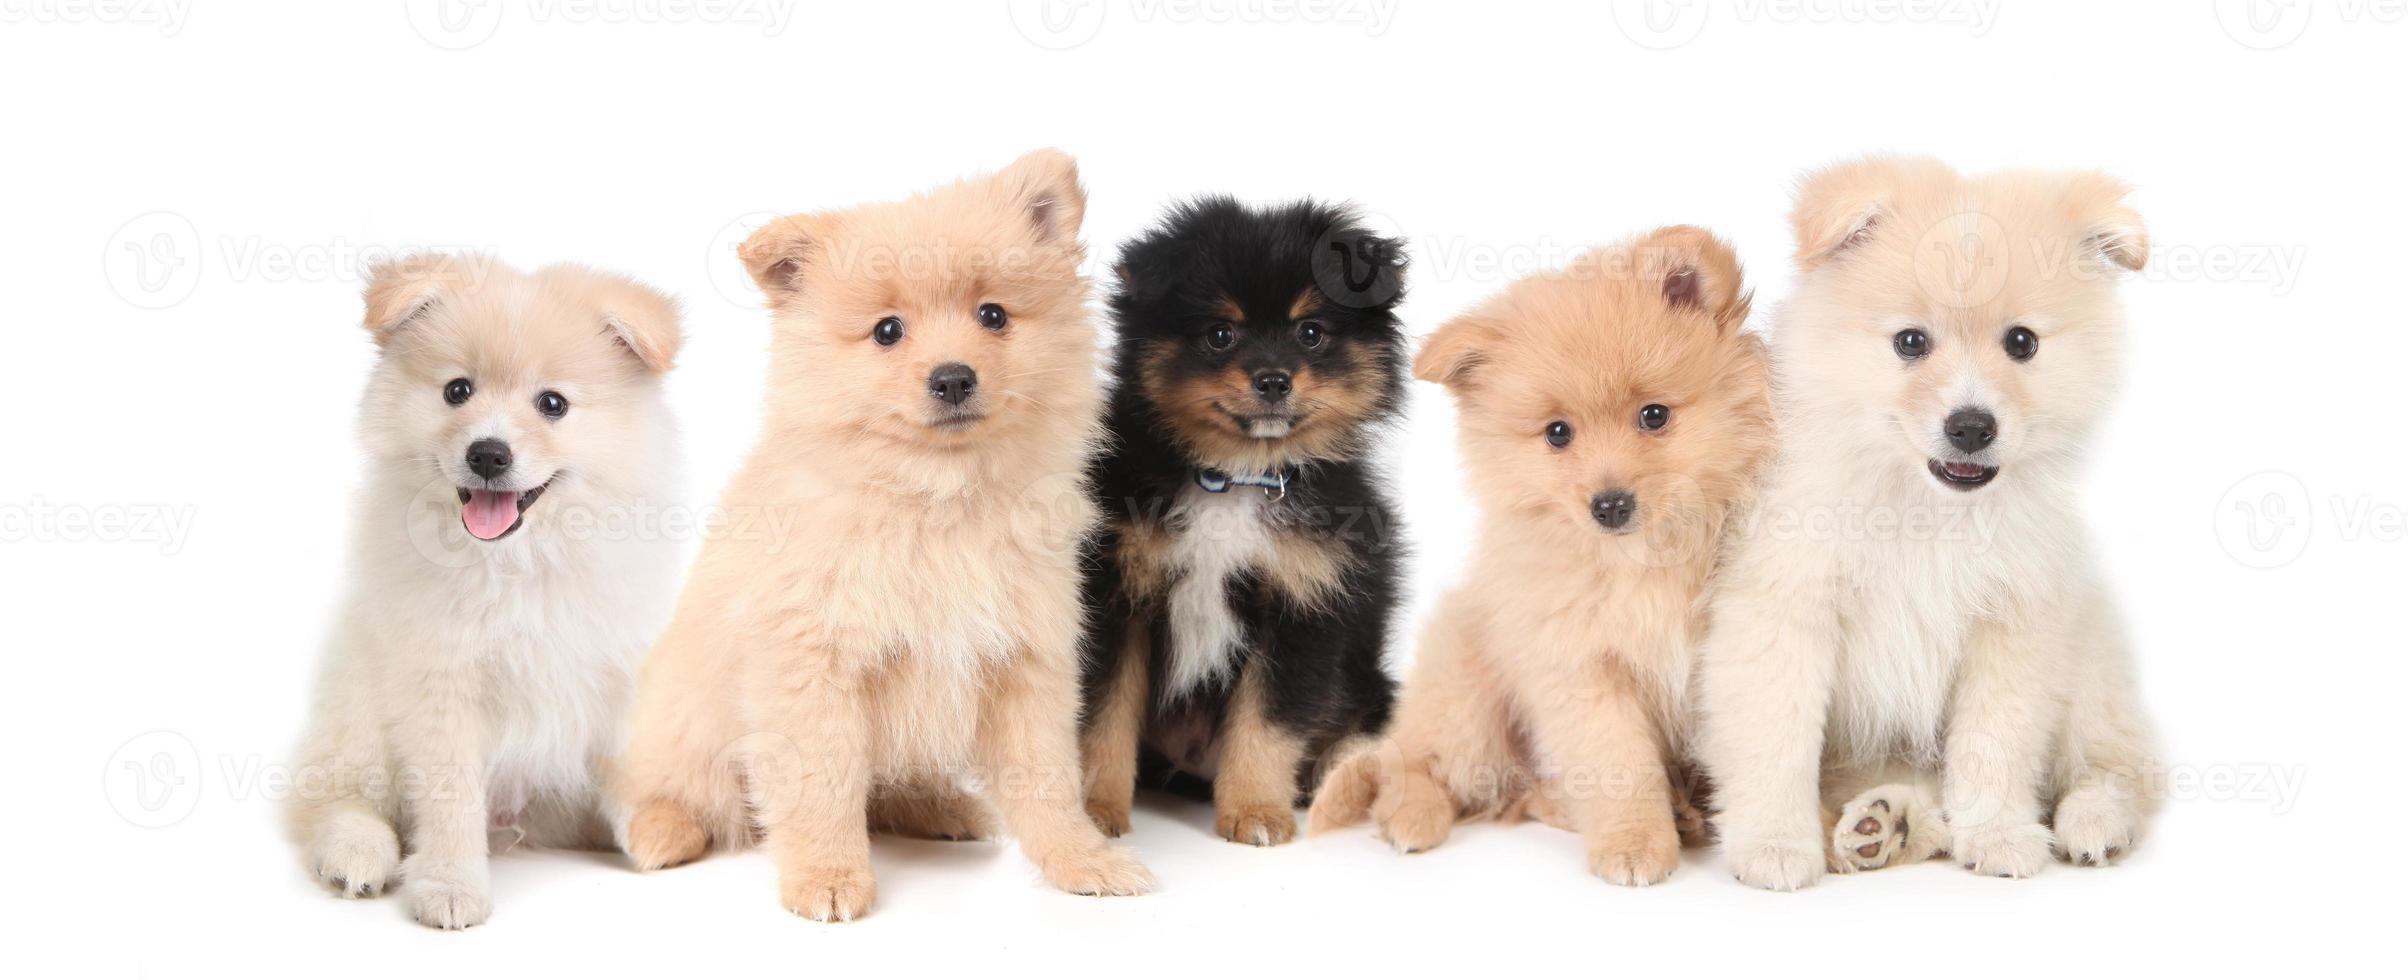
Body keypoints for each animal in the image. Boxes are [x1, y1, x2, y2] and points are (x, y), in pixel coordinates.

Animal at [288, 255, 698, 929]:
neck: (518, 560)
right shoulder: (441, 684)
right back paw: (357, 851)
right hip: (355, 708)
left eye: (553, 404)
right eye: (457, 390)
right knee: (330, 799)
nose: (487, 453)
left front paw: (656, 830)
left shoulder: (622, 667)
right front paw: (451, 887)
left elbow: (633, 764)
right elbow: (450, 800)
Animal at [616, 149, 1151, 924]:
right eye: (887, 331)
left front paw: (1083, 860)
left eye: (993, 315)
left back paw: (940, 808)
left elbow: (1047, 780)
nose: (953, 377)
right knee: (678, 786)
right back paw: (662, 830)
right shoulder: (814, 667)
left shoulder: (1026, 661)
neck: (933, 500)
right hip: (684, 718)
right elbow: (822, 786)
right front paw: (828, 877)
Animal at [1078, 197, 1406, 842]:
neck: (1235, 478)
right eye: (1219, 334)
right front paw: (1095, 812)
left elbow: (1267, 724)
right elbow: (1105, 715)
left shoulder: (1305, 605)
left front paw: (1255, 812)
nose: (1274, 380)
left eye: (1311, 332)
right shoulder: (1115, 593)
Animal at [1309, 226, 1781, 886]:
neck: (1643, 562)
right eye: (1558, 433)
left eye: (1654, 416)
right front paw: (1635, 844)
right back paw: (1412, 816)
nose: (1609, 505)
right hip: (1468, 697)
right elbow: (1619, 767)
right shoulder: (1581, 669)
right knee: (1413, 762)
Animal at [1695, 157, 2167, 895]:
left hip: (2091, 658)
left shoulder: (2014, 621)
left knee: (2121, 766)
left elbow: (1994, 745)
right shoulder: (1783, 611)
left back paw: (2093, 821)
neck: (1924, 507)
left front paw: (1998, 832)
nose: (1971, 426)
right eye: (1910, 342)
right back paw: (1881, 826)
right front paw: (1775, 844)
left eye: (2022, 343)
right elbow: (1776, 742)